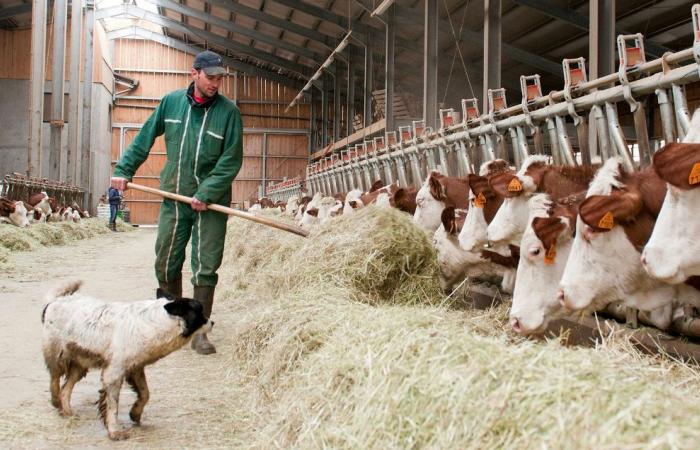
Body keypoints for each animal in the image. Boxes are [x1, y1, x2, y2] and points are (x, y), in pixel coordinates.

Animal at [41, 282, 213, 440]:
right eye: (200, 311)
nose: (212, 322)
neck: (156, 321)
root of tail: (55, 300)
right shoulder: (113, 374)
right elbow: (112, 406)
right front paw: (114, 431)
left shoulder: (135, 368)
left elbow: (145, 393)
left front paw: (135, 413)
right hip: (57, 356)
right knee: (54, 380)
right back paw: (56, 401)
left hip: (80, 364)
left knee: (65, 389)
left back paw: (67, 411)